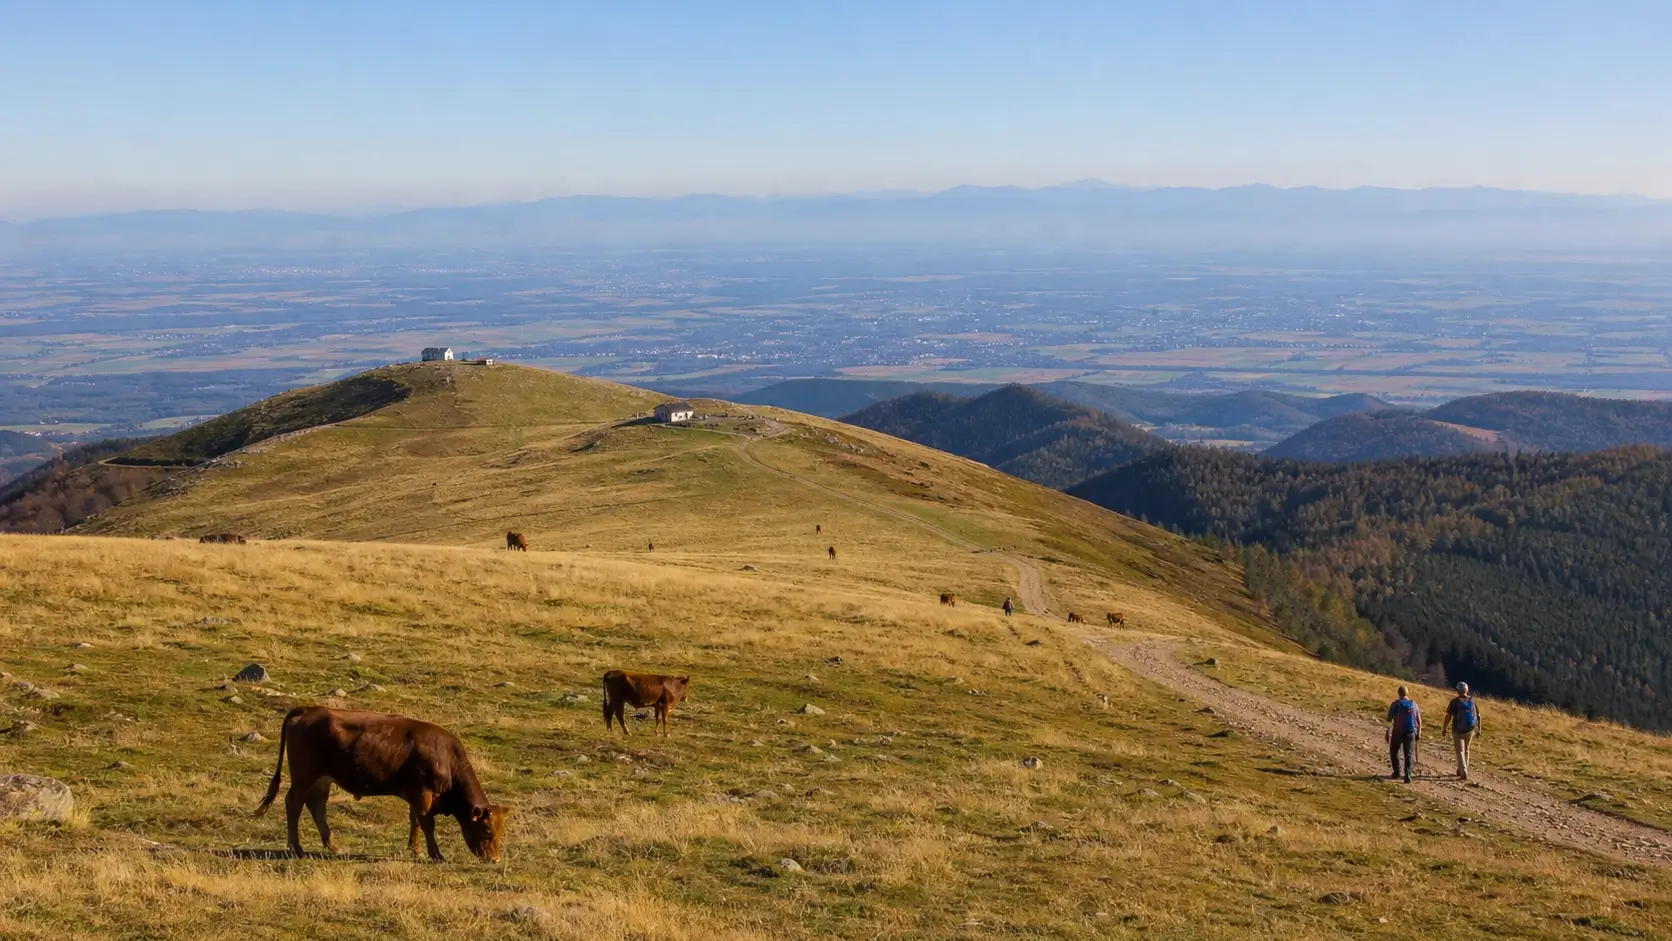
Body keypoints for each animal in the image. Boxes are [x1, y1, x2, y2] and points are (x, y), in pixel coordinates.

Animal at [253, 706, 510, 863]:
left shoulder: (415, 796)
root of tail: (308, 709)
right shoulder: (422, 793)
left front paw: (415, 850)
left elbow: (415, 822)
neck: (446, 757)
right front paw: (436, 855)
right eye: (487, 830)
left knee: (317, 807)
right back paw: (295, 847)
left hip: (321, 780)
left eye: (501, 831)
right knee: (294, 804)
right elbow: (427, 824)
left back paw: (333, 846)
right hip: (304, 776)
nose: (494, 859)